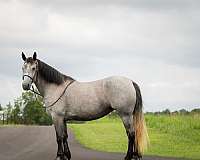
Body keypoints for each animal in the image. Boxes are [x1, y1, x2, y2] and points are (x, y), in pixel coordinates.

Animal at [21, 52, 149, 159]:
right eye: (23, 67)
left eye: (33, 68)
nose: (25, 85)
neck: (56, 88)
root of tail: (130, 82)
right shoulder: (63, 119)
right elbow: (65, 136)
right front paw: (67, 155)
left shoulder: (57, 117)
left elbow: (59, 137)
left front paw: (59, 156)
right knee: (134, 133)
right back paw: (136, 156)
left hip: (125, 115)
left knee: (131, 134)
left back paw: (128, 156)